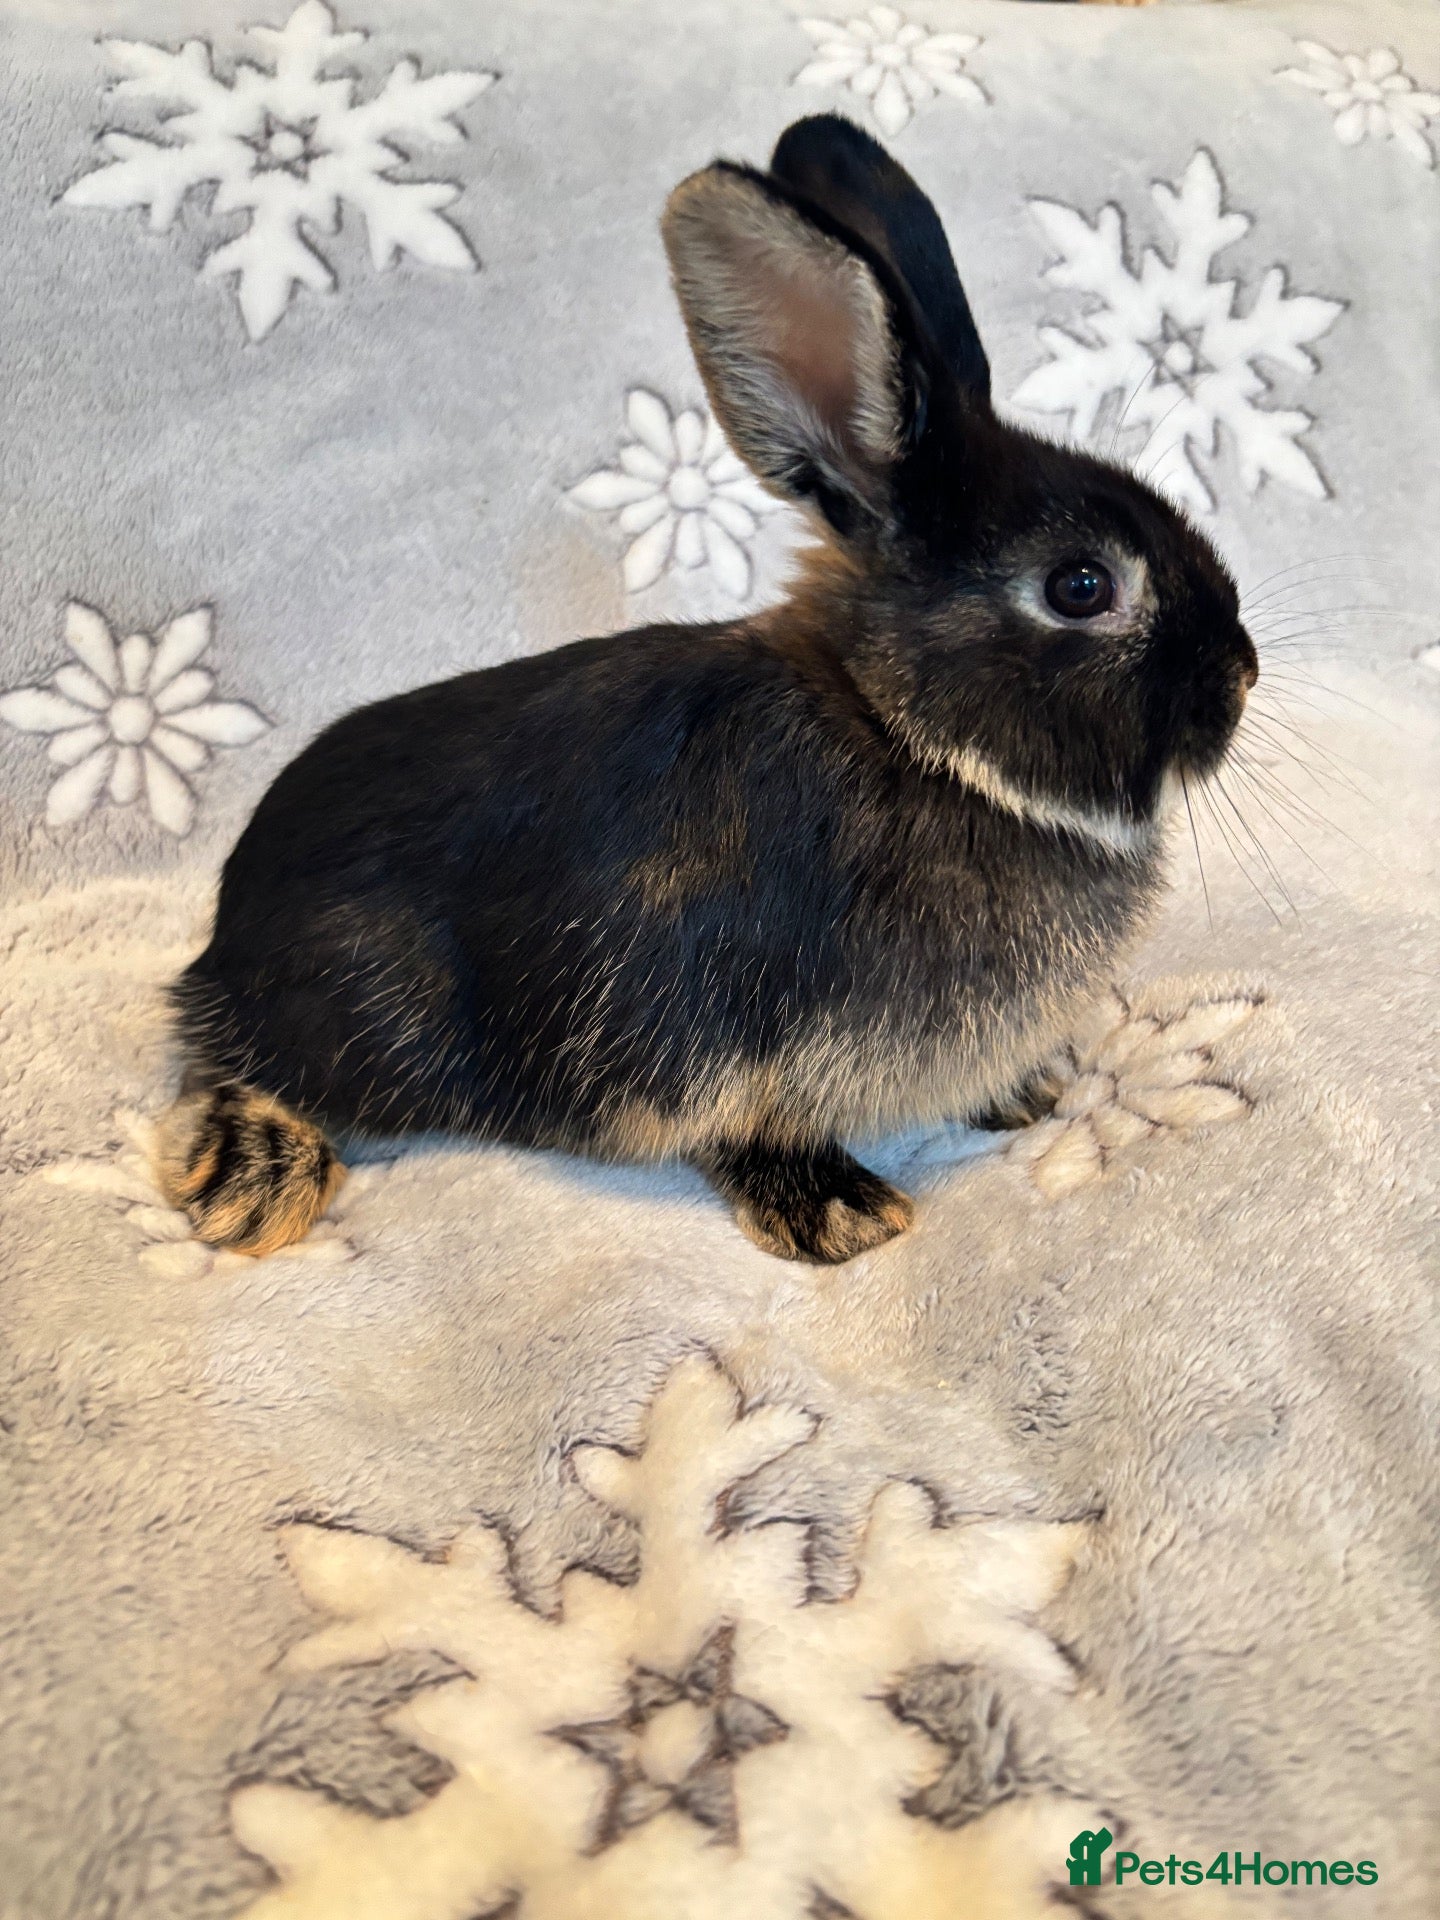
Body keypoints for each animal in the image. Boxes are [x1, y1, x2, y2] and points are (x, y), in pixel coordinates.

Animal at [156, 112, 1257, 1265]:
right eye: (1081, 586)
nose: (1242, 677)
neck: (905, 736)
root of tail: (220, 941)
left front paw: (1027, 1090)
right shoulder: (716, 1033)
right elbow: (747, 1128)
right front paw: (840, 1215)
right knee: (234, 1068)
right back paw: (258, 1181)